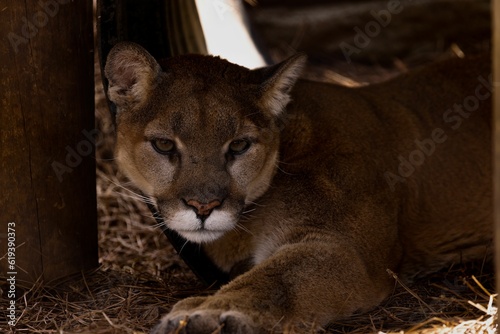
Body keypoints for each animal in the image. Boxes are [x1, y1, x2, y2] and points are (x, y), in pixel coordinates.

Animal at [104, 42, 492, 334]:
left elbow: (275, 280)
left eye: (239, 146)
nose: (203, 206)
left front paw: (204, 315)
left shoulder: (343, 248)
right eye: (164, 145)